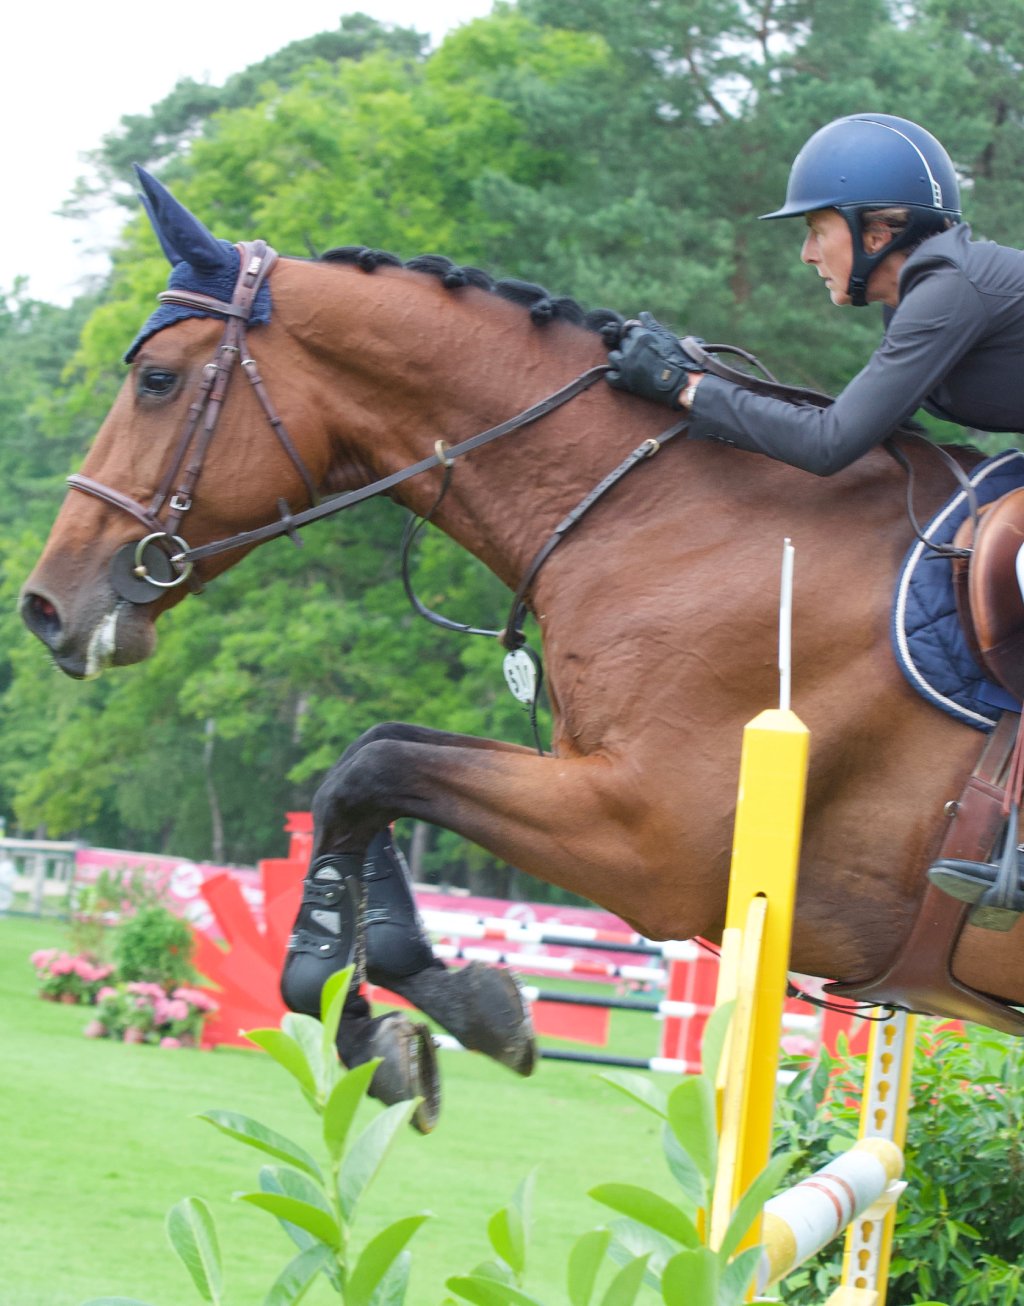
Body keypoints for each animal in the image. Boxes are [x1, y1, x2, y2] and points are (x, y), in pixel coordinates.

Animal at [21, 169, 1024, 1127]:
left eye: (156, 380)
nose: (43, 608)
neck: (665, 513)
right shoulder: (592, 783)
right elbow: (370, 760)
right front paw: (425, 997)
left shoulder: (647, 840)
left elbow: (372, 771)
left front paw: (349, 1001)